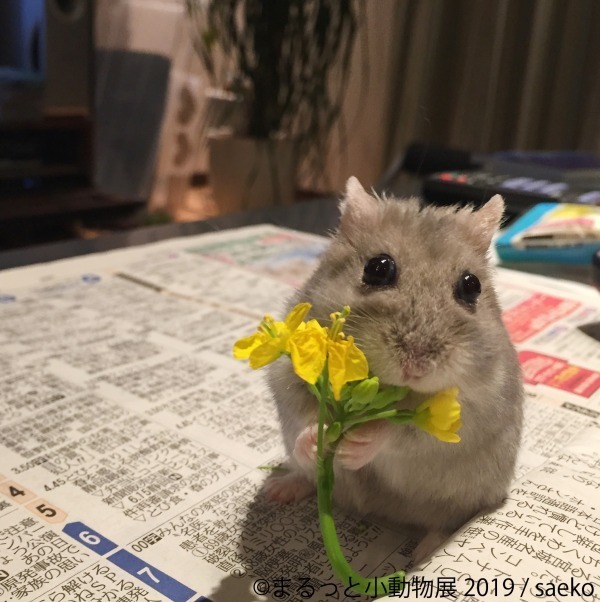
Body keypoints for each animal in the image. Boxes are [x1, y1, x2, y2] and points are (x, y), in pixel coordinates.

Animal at [264, 176, 524, 560]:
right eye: (377, 268)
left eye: (471, 286)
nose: (415, 365)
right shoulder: (288, 376)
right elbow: (305, 413)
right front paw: (317, 441)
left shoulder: (476, 411)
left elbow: (400, 431)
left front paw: (354, 447)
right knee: (304, 477)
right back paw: (278, 490)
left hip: (465, 496)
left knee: (444, 521)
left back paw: (423, 554)